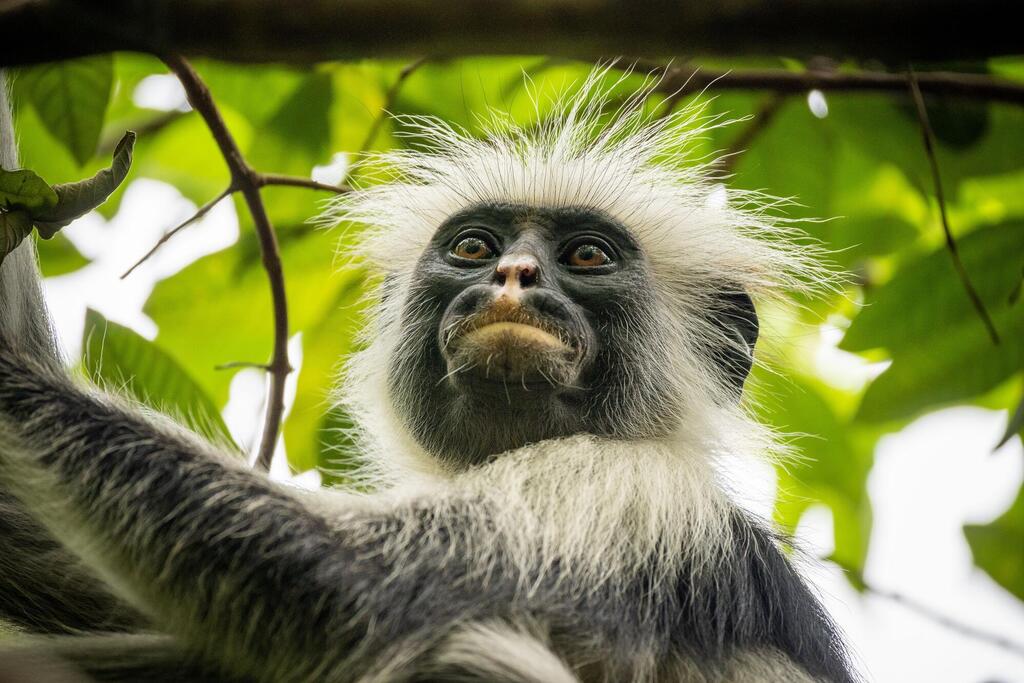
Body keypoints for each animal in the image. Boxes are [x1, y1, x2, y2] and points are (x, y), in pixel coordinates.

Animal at [0, 69, 857, 682]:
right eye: (475, 248)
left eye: (587, 256)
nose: (515, 275)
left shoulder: (626, 491)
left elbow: (366, 586)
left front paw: (10, 370)